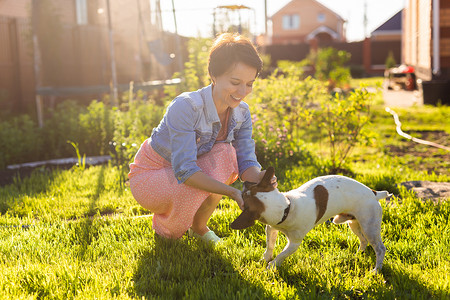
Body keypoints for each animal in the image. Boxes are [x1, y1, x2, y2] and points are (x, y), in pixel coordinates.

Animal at [232, 166, 390, 272]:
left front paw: (272, 266)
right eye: (254, 185)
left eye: (245, 193)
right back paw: (358, 254)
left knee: (380, 248)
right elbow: (270, 245)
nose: (244, 181)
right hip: (354, 223)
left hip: (369, 226)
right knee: (363, 240)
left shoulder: (294, 244)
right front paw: (266, 258)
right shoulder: (271, 228)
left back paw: (376, 270)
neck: (287, 207)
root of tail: (374, 193)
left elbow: (282, 255)